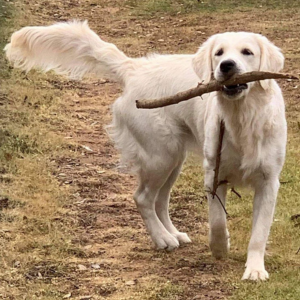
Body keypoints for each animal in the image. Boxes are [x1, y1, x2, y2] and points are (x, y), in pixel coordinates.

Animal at [4, 21, 286, 282]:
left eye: (247, 52)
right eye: (219, 53)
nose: (226, 65)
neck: (243, 118)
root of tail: (134, 68)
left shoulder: (269, 182)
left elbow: (259, 233)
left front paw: (255, 270)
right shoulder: (213, 175)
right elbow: (217, 220)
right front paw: (219, 247)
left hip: (173, 158)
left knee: (159, 200)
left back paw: (172, 233)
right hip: (160, 156)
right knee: (142, 198)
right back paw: (162, 238)